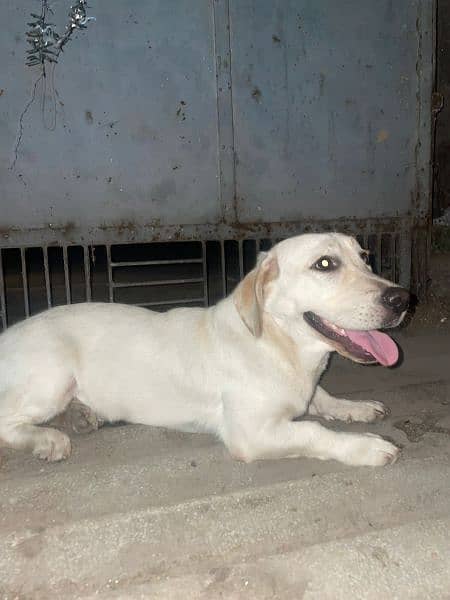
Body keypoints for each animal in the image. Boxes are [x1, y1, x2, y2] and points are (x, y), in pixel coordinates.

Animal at [0, 232, 412, 466]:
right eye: (325, 264)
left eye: (365, 257)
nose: (402, 298)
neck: (278, 345)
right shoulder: (251, 433)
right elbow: (315, 432)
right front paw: (367, 447)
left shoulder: (303, 392)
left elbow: (323, 398)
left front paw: (358, 408)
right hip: (52, 376)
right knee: (9, 421)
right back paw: (49, 438)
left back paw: (83, 415)